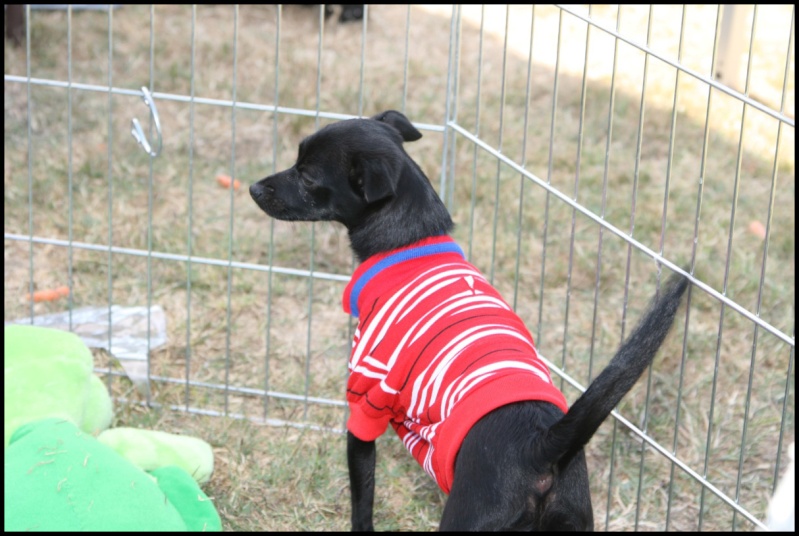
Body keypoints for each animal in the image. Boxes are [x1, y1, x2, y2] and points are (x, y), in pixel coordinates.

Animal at [250, 111, 688, 528]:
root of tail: (541, 446)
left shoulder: (365, 404)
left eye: (307, 175)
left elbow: (363, 500)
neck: (411, 243)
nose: (254, 187)